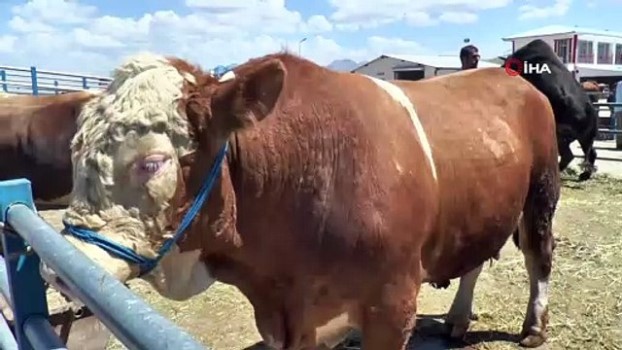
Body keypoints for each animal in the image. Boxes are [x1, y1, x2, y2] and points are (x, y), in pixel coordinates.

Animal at [42, 52, 560, 350]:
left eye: (152, 162)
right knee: (476, 258)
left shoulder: (392, 305)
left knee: (539, 255)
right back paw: (456, 320)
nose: (58, 265)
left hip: (541, 190)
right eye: (75, 152)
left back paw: (533, 328)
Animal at [502, 39, 600, 180]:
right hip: (584, 138)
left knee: (571, 155)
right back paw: (584, 175)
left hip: (563, 136)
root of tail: (590, 110)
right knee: (589, 153)